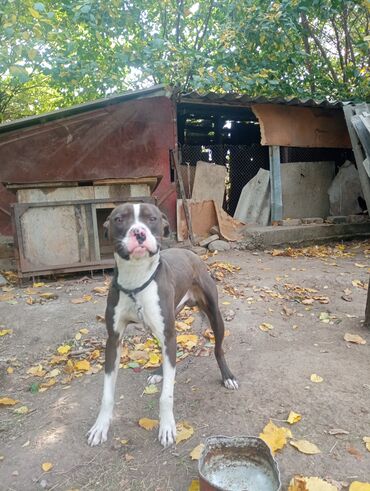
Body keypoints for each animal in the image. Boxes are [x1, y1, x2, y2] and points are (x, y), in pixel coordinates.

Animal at [87, 202, 237, 448]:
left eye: (152, 218)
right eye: (119, 219)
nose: (139, 233)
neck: (136, 280)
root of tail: (189, 251)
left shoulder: (169, 334)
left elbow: (167, 395)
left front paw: (167, 427)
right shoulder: (114, 339)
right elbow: (107, 394)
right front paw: (100, 427)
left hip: (214, 315)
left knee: (218, 349)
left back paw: (227, 376)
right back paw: (159, 372)